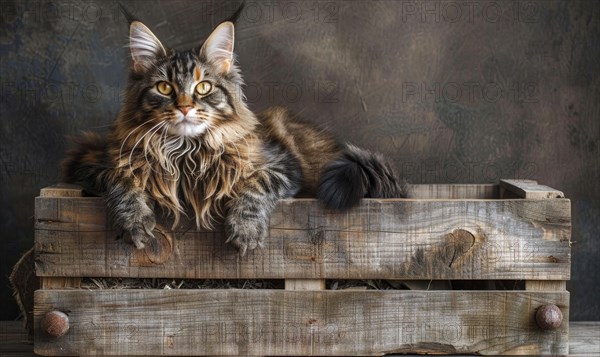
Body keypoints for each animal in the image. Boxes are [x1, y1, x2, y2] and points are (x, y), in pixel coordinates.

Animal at [62, 8, 408, 253]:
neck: (185, 152)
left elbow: (255, 186)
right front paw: (135, 222)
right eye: (164, 87)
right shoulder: (93, 161)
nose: (185, 107)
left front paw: (246, 231)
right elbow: (122, 181)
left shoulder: (281, 165)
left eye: (203, 87)